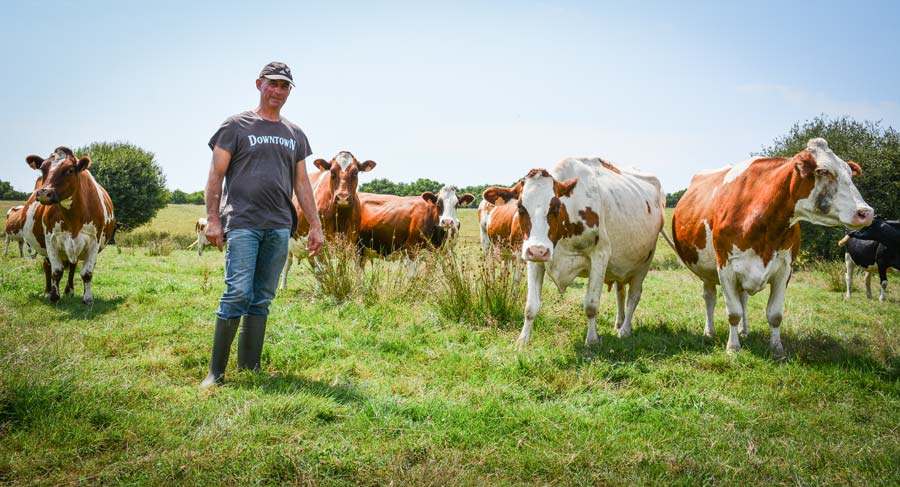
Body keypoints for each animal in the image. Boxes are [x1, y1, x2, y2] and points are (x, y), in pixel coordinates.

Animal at [22, 147, 116, 304]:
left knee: (73, 266)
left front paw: (88, 298)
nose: (44, 193)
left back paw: (69, 290)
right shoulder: (51, 239)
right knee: (47, 266)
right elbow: (56, 271)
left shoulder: (94, 241)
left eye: (70, 170)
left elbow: (87, 273)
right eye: (43, 169)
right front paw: (54, 297)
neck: (73, 218)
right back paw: (48, 292)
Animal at [284, 151, 378, 290]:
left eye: (355, 173)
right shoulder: (320, 242)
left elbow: (340, 268)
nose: (343, 197)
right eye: (332, 172)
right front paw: (321, 292)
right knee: (288, 263)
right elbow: (322, 269)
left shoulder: (348, 241)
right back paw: (283, 286)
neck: (340, 218)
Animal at [482, 157, 664, 346]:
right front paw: (522, 340)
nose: (539, 251)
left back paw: (625, 330)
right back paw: (619, 323)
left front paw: (592, 340)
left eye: (555, 207)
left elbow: (591, 305)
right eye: (520, 207)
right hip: (620, 267)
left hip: (644, 264)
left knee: (633, 297)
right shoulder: (532, 259)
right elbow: (531, 306)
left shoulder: (600, 256)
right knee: (620, 293)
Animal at [672, 139, 876, 356]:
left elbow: (775, 314)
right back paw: (709, 332)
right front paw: (733, 347)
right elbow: (733, 312)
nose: (866, 212)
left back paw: (745, 331)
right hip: (707, 272)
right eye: (823, 171)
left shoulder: (785, 270)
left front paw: (777, 350)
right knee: (710, 299)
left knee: (743, 298)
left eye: (850, 172)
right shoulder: (725, 267)